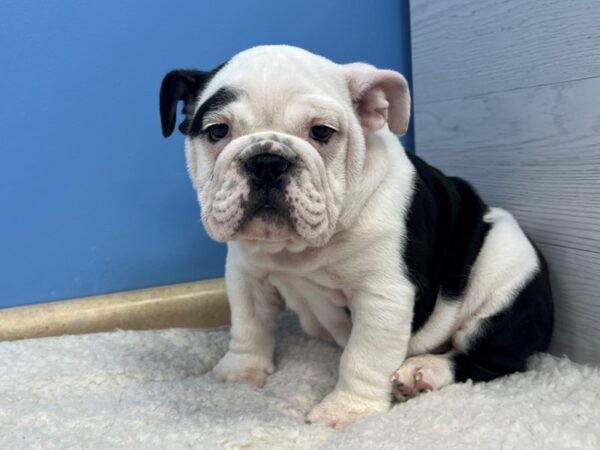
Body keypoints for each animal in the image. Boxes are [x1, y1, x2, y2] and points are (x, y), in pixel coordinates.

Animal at [159, 44, 552, 428]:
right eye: (217, 131)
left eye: (321, 132)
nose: (267, 161)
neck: (296, 249)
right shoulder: (246, 274)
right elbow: (248, 323)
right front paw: (241, 372)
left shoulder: (382, 294)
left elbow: (364, 355)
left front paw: (346, 411)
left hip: (504, 277)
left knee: (490, 360)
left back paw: (425, 370)